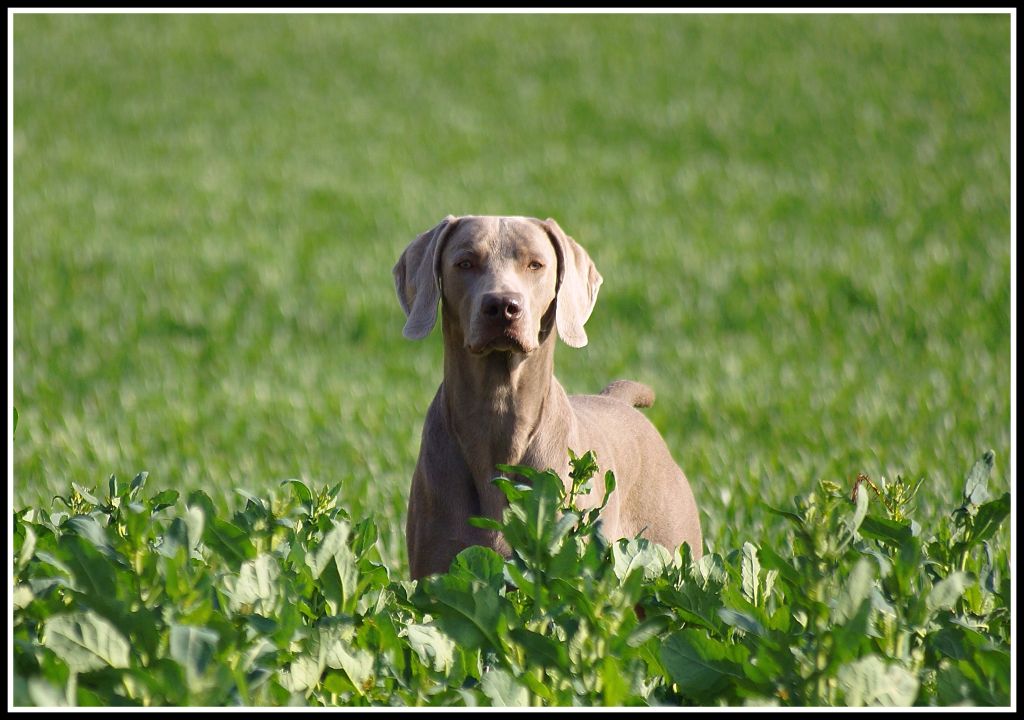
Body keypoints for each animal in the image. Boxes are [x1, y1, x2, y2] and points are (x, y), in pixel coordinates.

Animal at [393, 214, 704, 581]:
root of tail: (620, 401)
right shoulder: (434, 573)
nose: (502, 306)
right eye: (465, 262)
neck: (499, 417)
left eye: (535, 264)